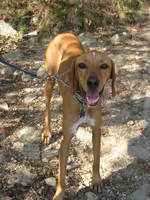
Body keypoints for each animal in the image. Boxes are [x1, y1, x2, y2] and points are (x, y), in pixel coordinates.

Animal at [42, 32, 116, 200]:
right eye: (82, 65)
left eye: (104, 66)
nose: (92, 82)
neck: (84, 103)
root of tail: (63, 34)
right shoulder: (66, 139)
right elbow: (61, 175)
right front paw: (59, 194)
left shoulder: (96, 131)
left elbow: (96, 159)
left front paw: (96, 180)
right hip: (50, 79)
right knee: (47, 105)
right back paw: (47, 132)